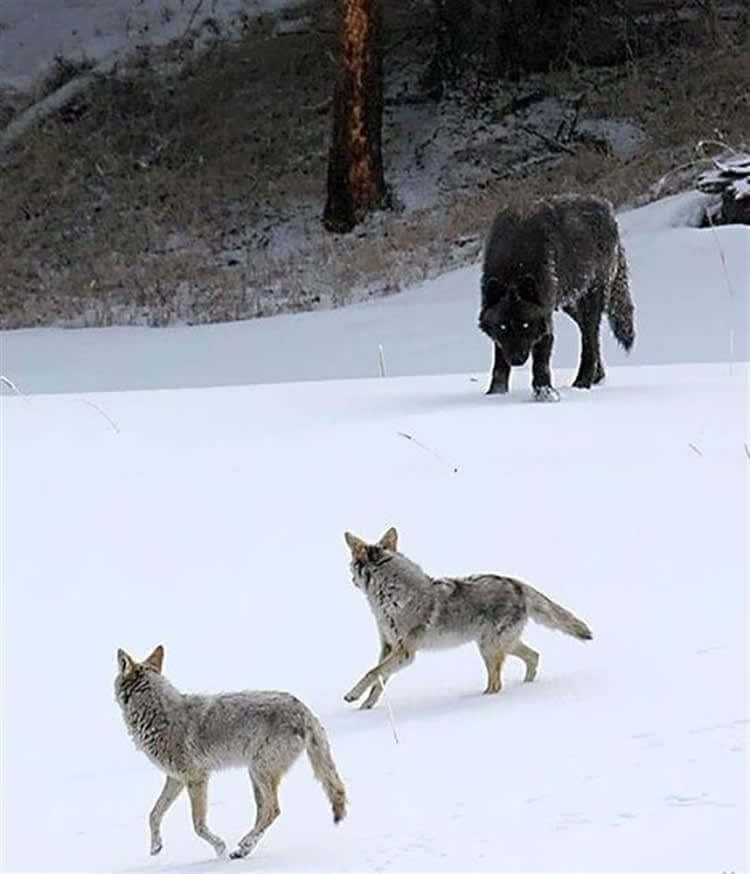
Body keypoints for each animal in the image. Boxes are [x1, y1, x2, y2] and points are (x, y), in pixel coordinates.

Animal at [482, 193, 636, 398]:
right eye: (503, 326)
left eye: (526, 325)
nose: (516, 359)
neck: (515, 263)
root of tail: (608, 208)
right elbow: (499, 363)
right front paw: (496, 394)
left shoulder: (545, 317)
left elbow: (541, 362)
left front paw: (544, 393)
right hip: (569, 304)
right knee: (590, 335)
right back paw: (598, 376)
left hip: (590, 299)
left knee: (590, 339)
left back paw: (583, 383)